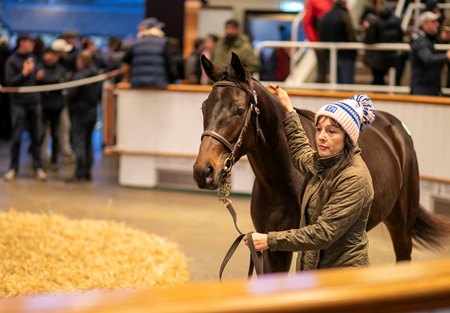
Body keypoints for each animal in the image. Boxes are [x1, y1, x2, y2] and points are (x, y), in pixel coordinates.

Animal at [193, 52, 450, 272]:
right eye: (204, 107)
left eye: (238, 110)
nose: (203, 171)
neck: (280, 179)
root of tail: (395, 127)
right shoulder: (268, 247)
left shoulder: (287, 246)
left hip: (402, 225)